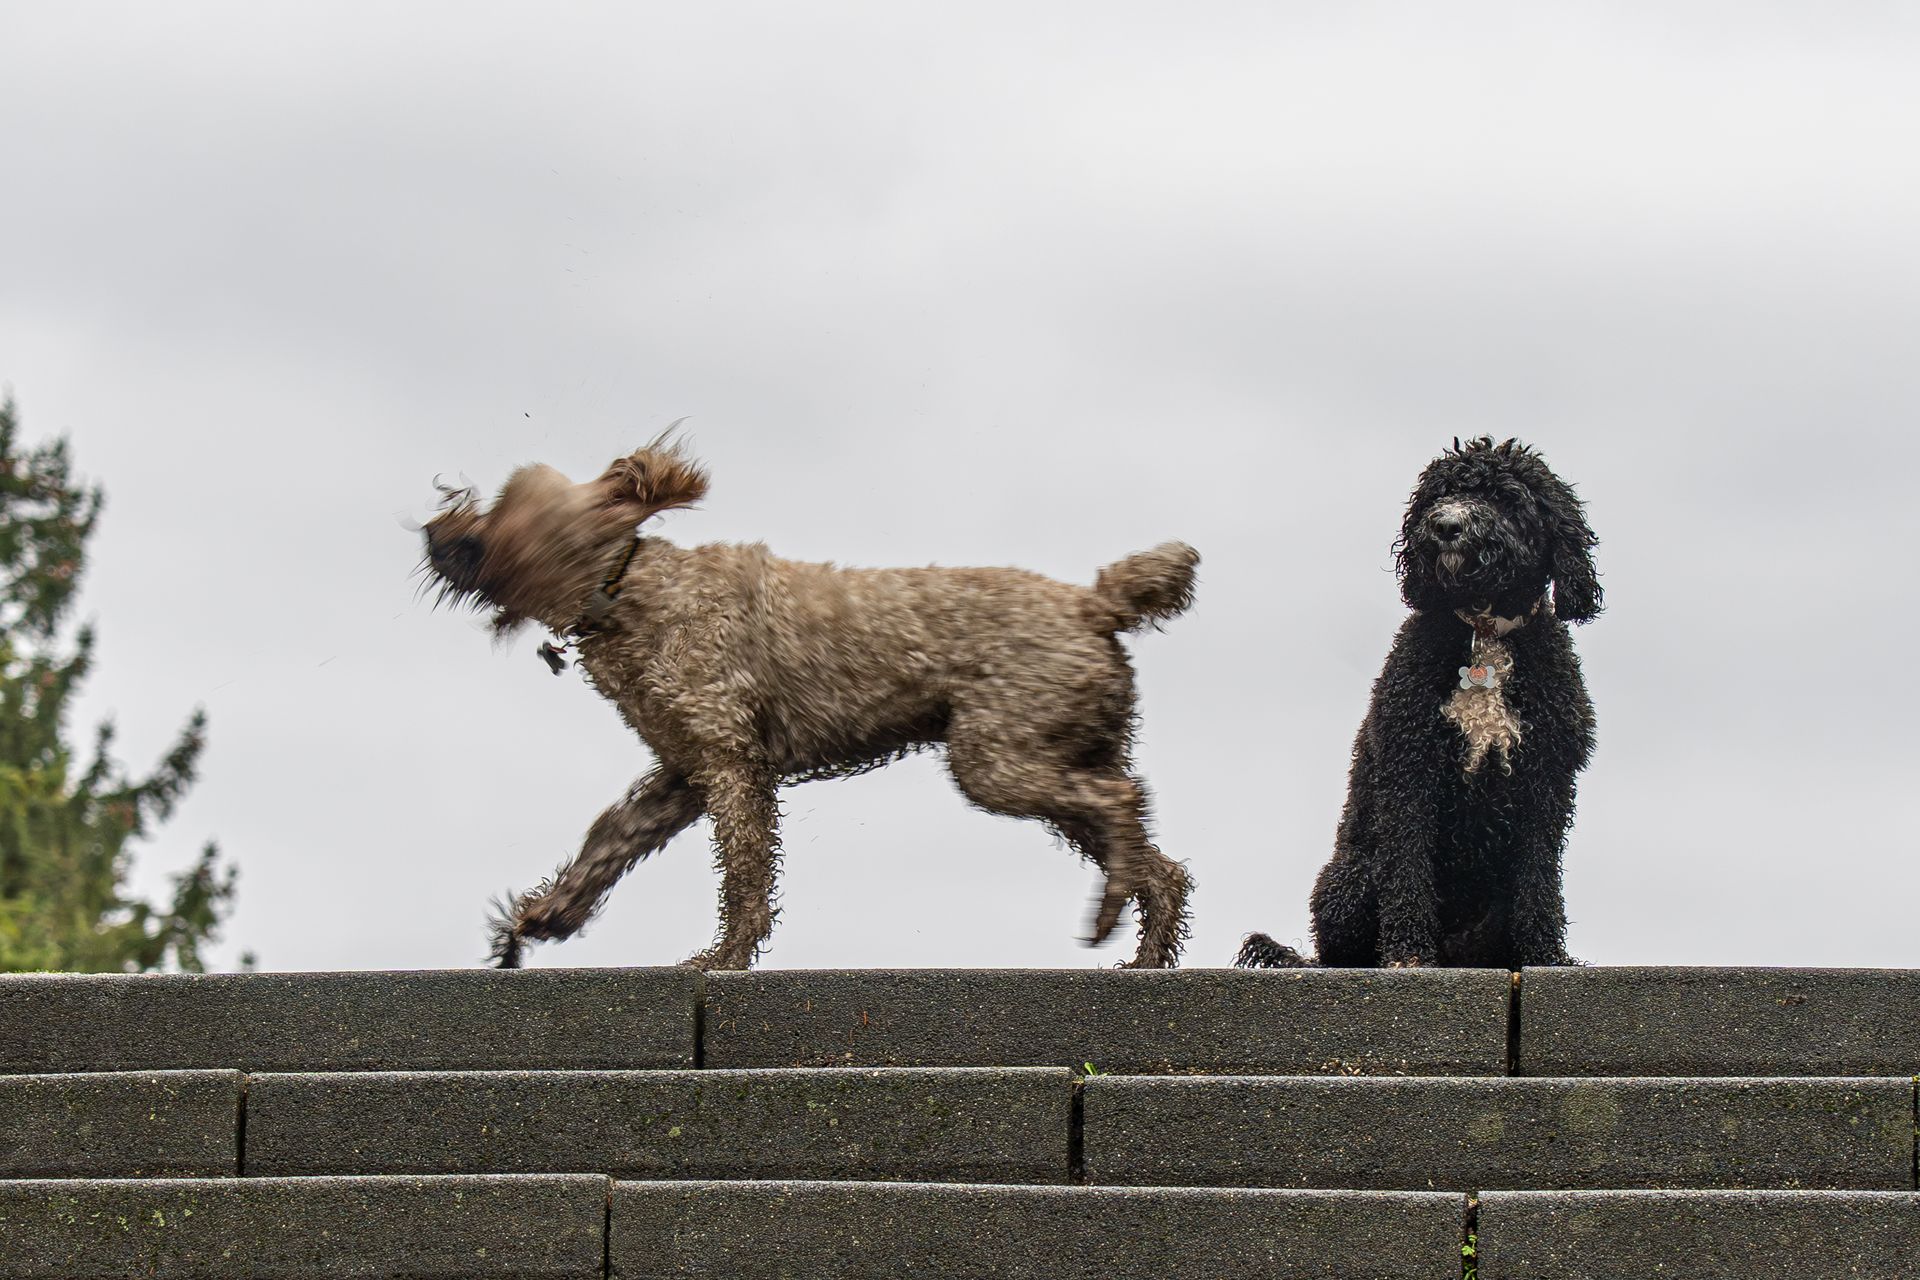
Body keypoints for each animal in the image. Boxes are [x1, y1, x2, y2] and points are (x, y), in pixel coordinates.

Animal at [420, 438, 1198, 970]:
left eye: (507, 505)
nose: (432, 527)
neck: (628, 589)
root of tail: (1095, 603)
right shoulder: (682, 773)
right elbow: (605, 844)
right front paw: (544, 916)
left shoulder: (731, 764)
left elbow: (744, 875)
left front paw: (724, 960)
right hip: (1063, 746)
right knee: (1162, 865)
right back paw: (1143, 958)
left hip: (997, 758)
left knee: (1124, 804)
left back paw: (1108, 917)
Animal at [1239, 437, 1599, 969]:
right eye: (1439, 493)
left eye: (1507, 498)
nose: (1445, 525)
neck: (1483, 632)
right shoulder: (1409, 770)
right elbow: (1408, 867)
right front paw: (1408, 954)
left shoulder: (1547, 779)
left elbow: (1538, 879)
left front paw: (1544, 953)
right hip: (1350, 880)